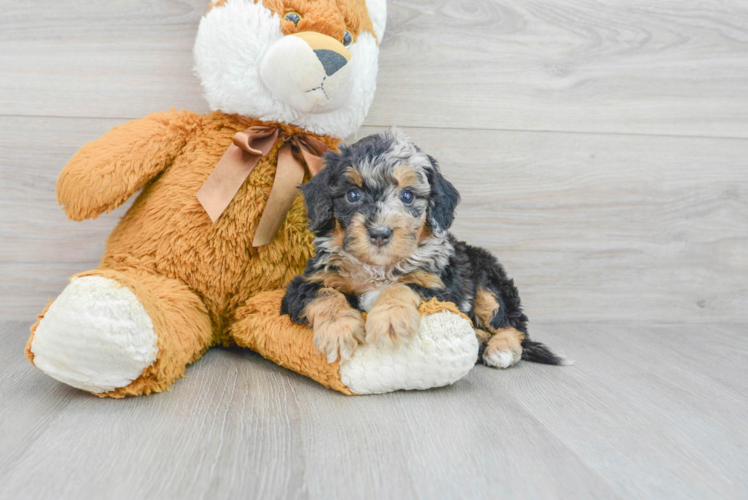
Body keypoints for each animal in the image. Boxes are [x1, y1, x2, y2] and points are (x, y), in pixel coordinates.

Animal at [284, 127, 568, 370]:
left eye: (408, 196)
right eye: (353, 195)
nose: (379, 234)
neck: (379, 269)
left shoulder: (439, 287)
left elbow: (402, 286)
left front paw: (390, 319)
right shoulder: (304, 283)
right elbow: (325, 294)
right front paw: (339, 331)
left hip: (490, 283)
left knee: (512, 324)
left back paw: (501, 349)